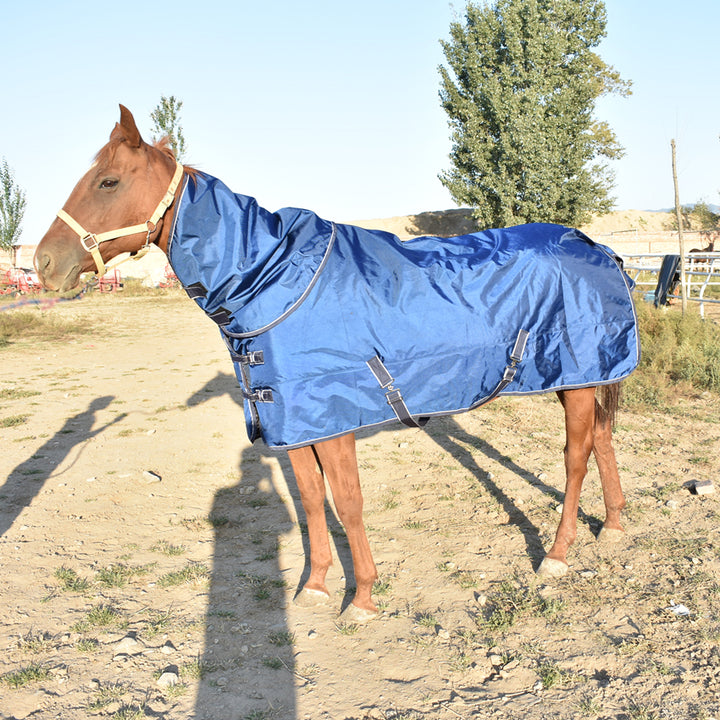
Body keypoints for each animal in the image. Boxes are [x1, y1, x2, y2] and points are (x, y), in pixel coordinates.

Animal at [35, 105, 638, 624]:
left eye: (108, 182)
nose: (44, 263)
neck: (272, 277)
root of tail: (597, 247)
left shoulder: (334, 417)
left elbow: (348, 503)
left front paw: (363, 596)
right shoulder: (294, 423)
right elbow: (309, 502)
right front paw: (315, 586)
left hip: (576, 376)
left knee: (576, 458)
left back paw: (557, 554)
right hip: (587, 376)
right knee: (602, 440)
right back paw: (613, 526)